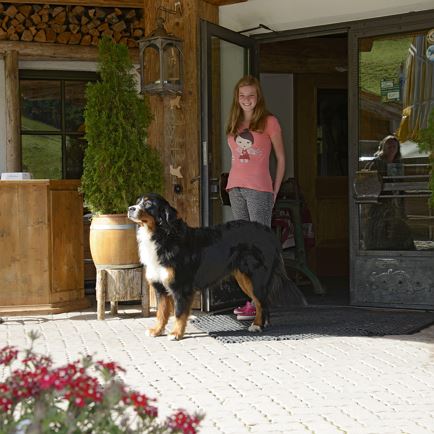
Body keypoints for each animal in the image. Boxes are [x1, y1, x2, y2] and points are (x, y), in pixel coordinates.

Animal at [127, 192, 306, 340]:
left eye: (148, 204)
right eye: (137, 201)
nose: (130, 208)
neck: (162, 235)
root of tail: (268, 232)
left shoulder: (181, 287)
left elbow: (178, 313)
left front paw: (176, 333)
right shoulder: (160, 287)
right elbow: (161, 312)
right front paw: (157, 330)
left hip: (256, 278)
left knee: (261, 302)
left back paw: (256, 325)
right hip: (244, 279)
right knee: (262, 302)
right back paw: (261, 324)